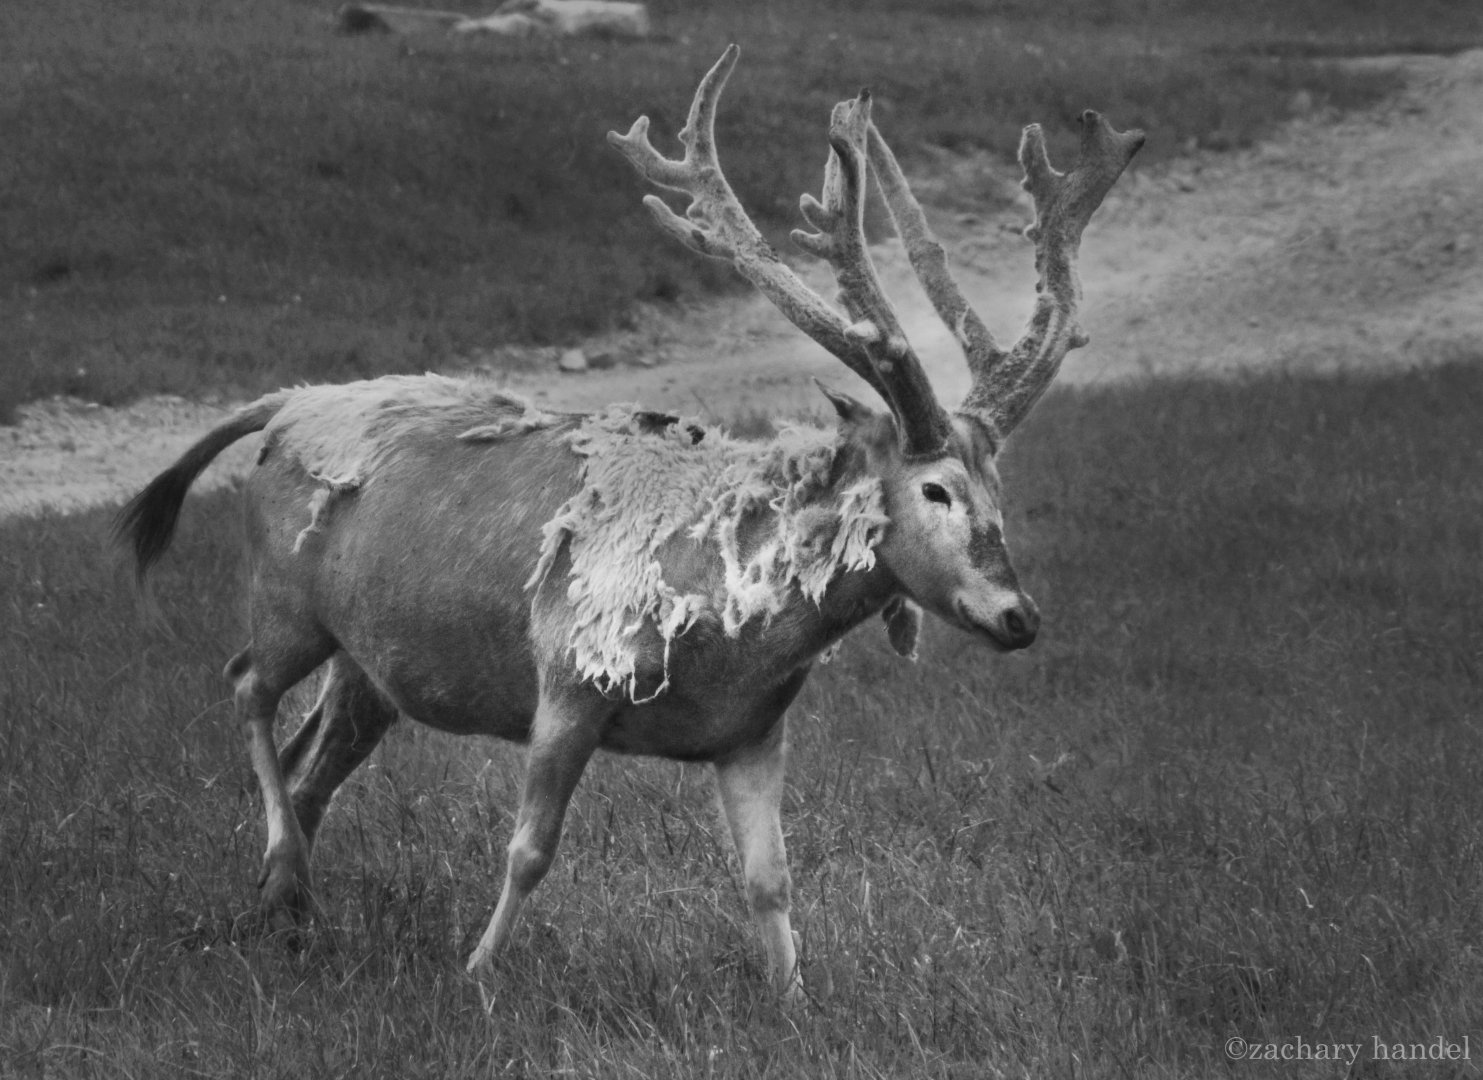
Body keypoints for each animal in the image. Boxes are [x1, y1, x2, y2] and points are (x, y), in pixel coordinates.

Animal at [114, 45, 1142, 1000]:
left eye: (999, 490)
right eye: (934, 491)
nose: (1018, 616)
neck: (734, 633)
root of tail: (284, 403)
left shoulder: (753, 729)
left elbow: (770, 877)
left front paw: (793, 999)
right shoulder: (571, 671)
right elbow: (529, 848)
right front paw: (476, 974)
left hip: (370, 665)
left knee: (309, 758)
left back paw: (282, 906)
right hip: (286, 599)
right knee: (245, 685)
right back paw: (282, 872)